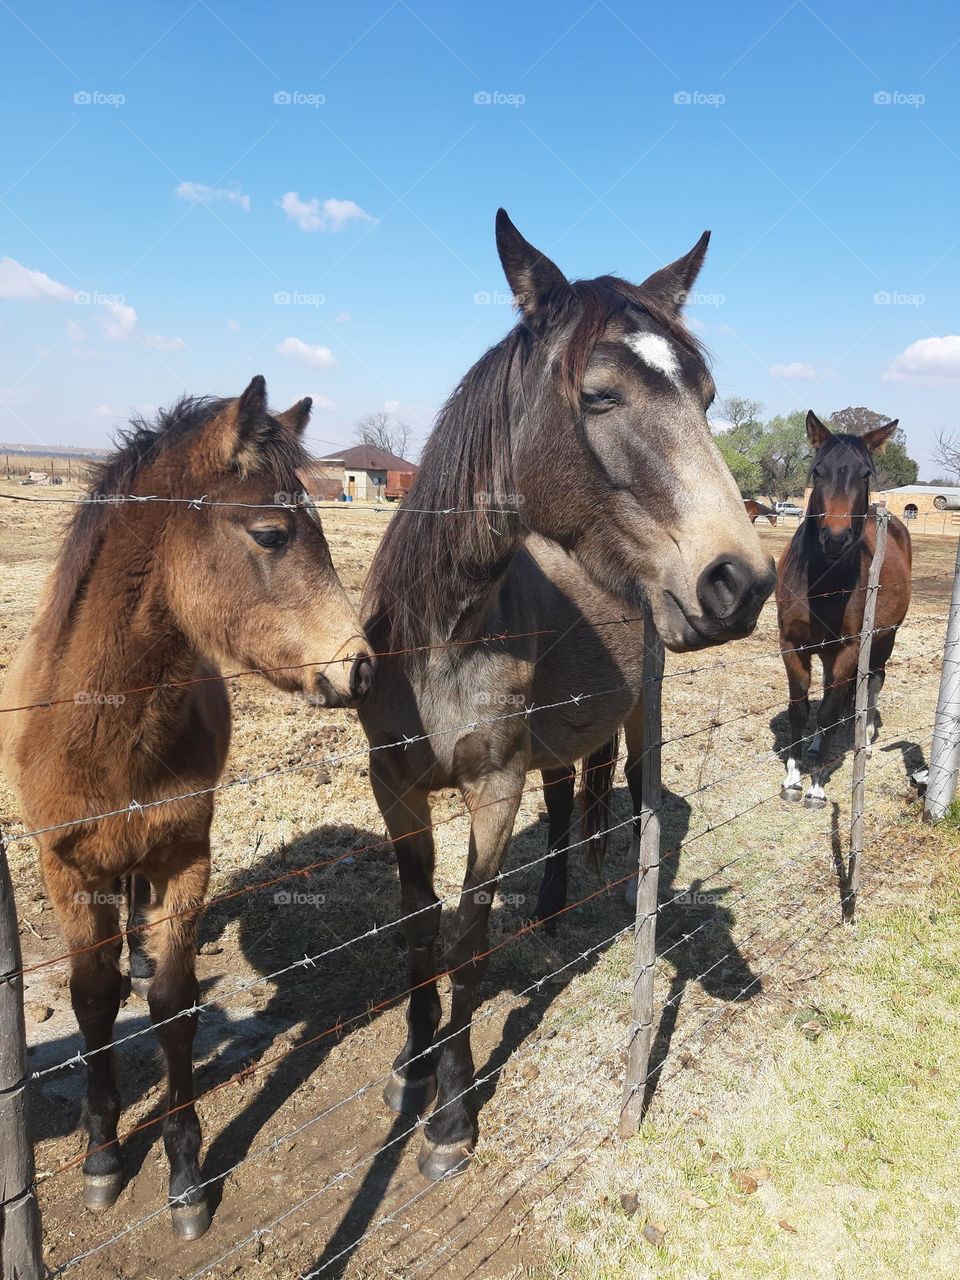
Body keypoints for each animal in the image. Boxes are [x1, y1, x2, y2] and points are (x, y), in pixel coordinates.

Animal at [0, 377, 375, 1238]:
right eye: (271, 533)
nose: (363, 668)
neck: (102, 730)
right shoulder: (65, 870)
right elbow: (92, 998)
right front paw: (103, 1156)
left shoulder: (185, 860)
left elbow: (173, 1006)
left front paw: (185, 1174)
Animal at [357, 209, 776, 1180]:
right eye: (599, 397)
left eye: (708, 398)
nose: (740, 581)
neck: (439, 636)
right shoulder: (394, 785)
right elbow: (419, 932)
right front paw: (410, 1068)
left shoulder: (492, 785)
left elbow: (467, 942)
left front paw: (449, 1118)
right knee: (562, 800)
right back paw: (550, 905)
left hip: (631, 720)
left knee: (617, 792)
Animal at [776, 411, 911, 807]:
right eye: (818, 471)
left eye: (865, 474)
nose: (835, 538)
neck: (822, 582)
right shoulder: (792, 645)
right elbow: (801, 709)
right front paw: (793, 778)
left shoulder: (850, 648)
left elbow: (830, 709)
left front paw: (818, 786)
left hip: (883, 641)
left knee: (872, 683)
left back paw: (863, 741)